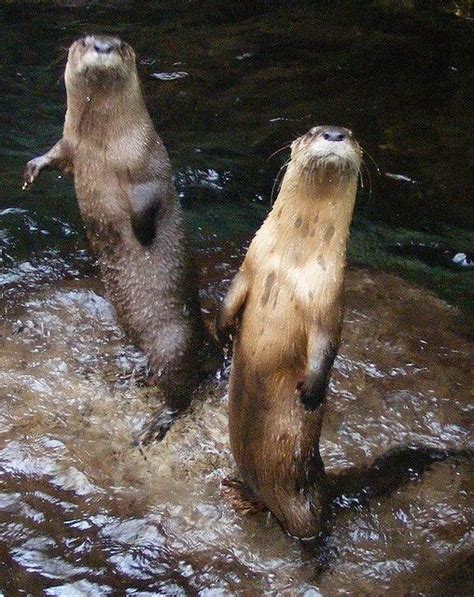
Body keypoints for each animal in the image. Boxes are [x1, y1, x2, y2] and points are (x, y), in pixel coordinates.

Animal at [23, 36, 219, 428]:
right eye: (85, 41)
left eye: (120, 45)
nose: (102, 46)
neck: (104, 147)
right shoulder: (71, 147)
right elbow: (53, 155)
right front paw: (32, 169)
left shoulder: (146, 167)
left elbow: (149, 202)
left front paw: (142, 235)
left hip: (171, 341)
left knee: (181, 391)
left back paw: (155, 423)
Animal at [217, 123, 362, 536]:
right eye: (313, 131)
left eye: (351, 134)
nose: (334, 134)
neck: (291, 262)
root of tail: (324, 480)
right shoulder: (252, 262)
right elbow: (231, 295)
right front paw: (223, 331)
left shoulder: (329, 298)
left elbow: (326, 344)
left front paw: (312, 391)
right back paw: (239, 492)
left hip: (300, 492)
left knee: (311, 525)